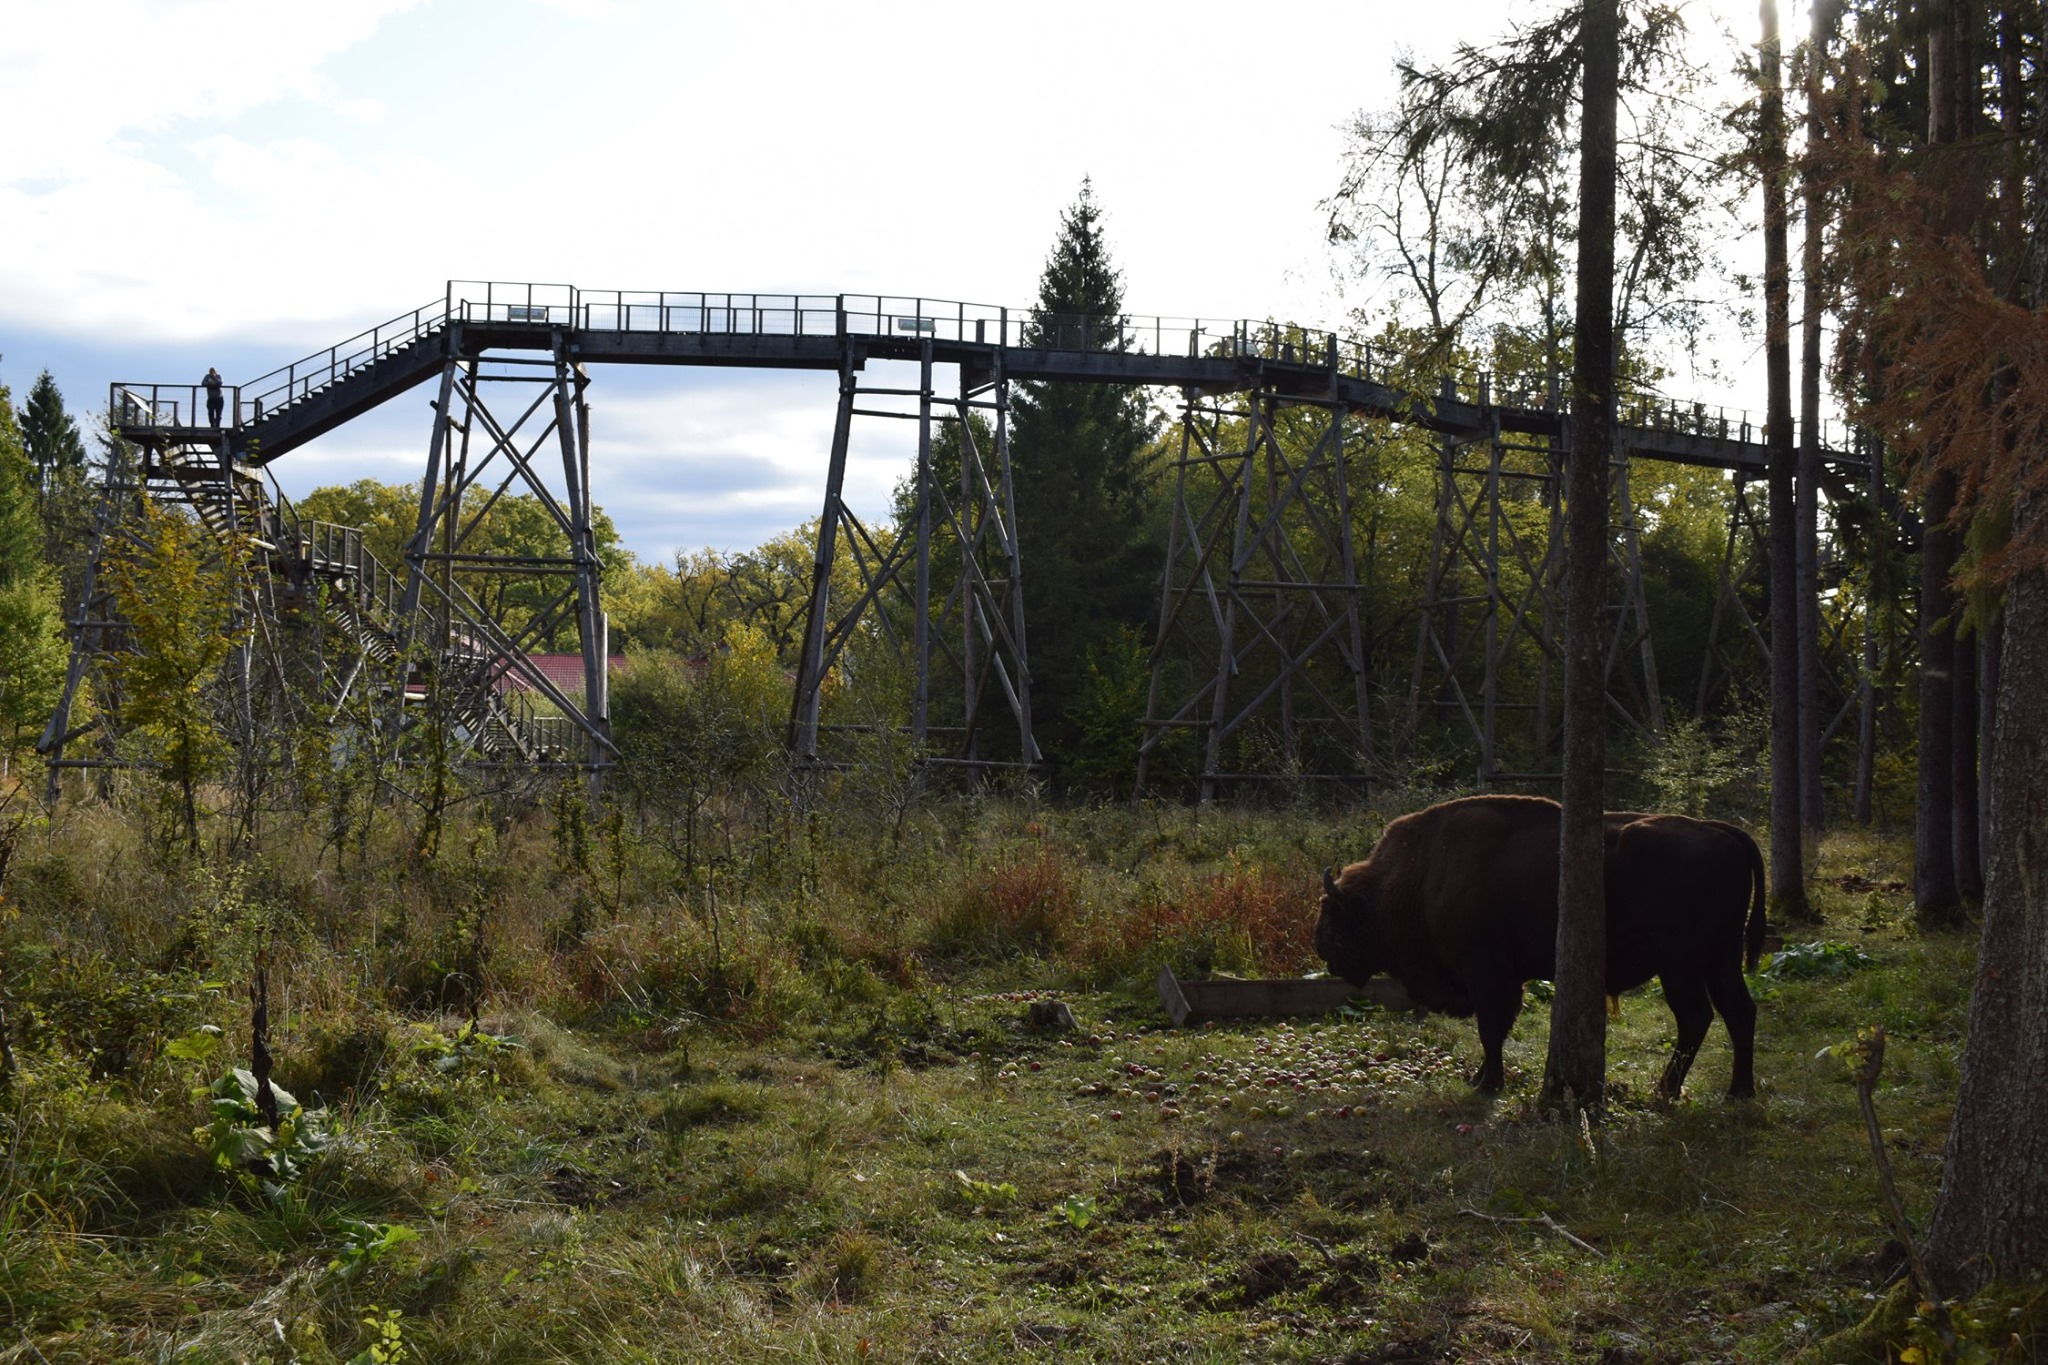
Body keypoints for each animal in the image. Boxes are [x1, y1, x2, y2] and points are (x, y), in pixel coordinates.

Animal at [1318, 802, 1769, 1096]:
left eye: (1336, 913)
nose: (1320, 945)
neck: (1420, 877)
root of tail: (1720, 830)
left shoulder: (1488, 973)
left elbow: (1490, 1027)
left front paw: (1487, 1085)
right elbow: (1495, 1030)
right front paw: (1480, 1078)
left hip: (1680, 964)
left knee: (1696, 1016)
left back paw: (1666, 1090)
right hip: (1721, 956)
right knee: (1739, 1010)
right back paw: (1738, 1090)